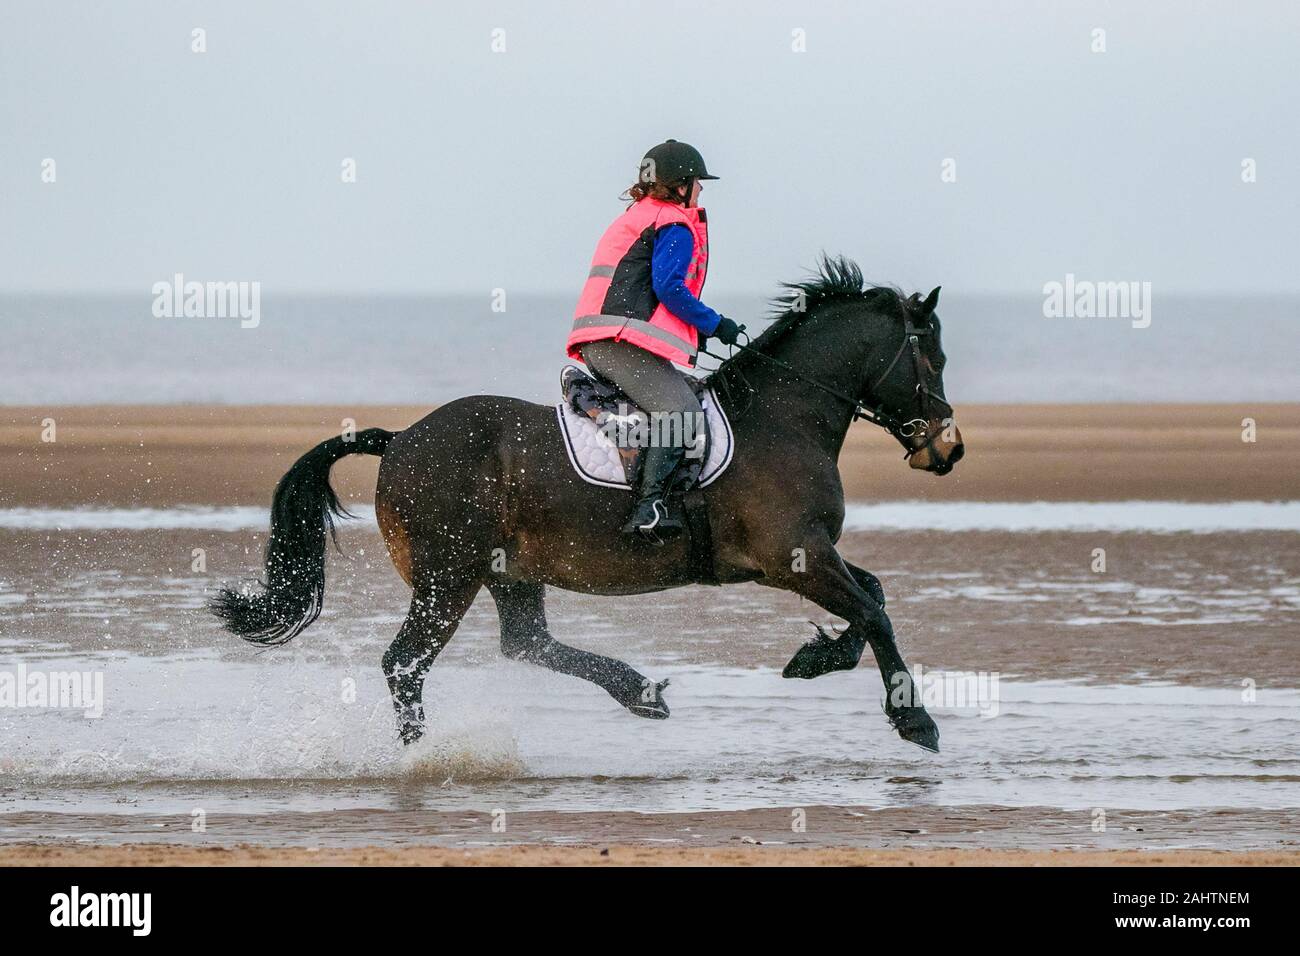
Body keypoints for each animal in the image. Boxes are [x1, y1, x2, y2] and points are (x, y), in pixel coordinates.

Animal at [210, 257, 967, 749]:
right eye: (932, 357)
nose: (947, 448)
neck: (783, 417)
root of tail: (400, 440)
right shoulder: (794, 556)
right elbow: (873, 609)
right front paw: (915, 721)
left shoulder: (802, 556)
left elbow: (873, 596)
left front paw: (815, 658)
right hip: (447, 578)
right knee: (405, 663)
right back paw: (420, 753)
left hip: (507, 571)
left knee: (526, 642)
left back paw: (638, 691)